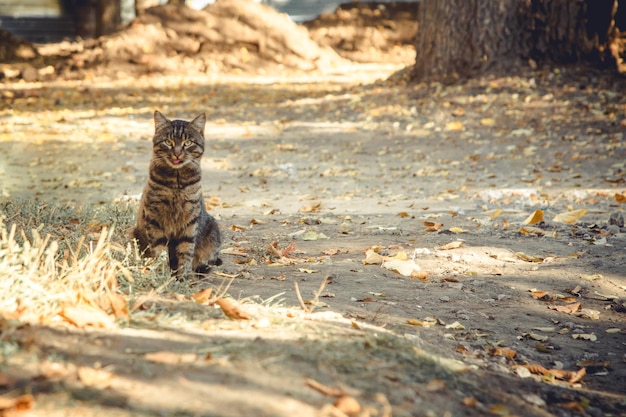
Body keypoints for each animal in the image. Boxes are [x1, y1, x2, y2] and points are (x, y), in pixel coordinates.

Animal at [130, 110, 221, 278]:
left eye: (188, 143)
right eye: (168, 142)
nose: (177, 154)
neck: (176, 183)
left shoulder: (190, 219)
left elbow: (186, 251)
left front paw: (184, 276)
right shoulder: (154, 218)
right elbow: (160, 250)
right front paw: (163, 275)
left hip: (213, 232)